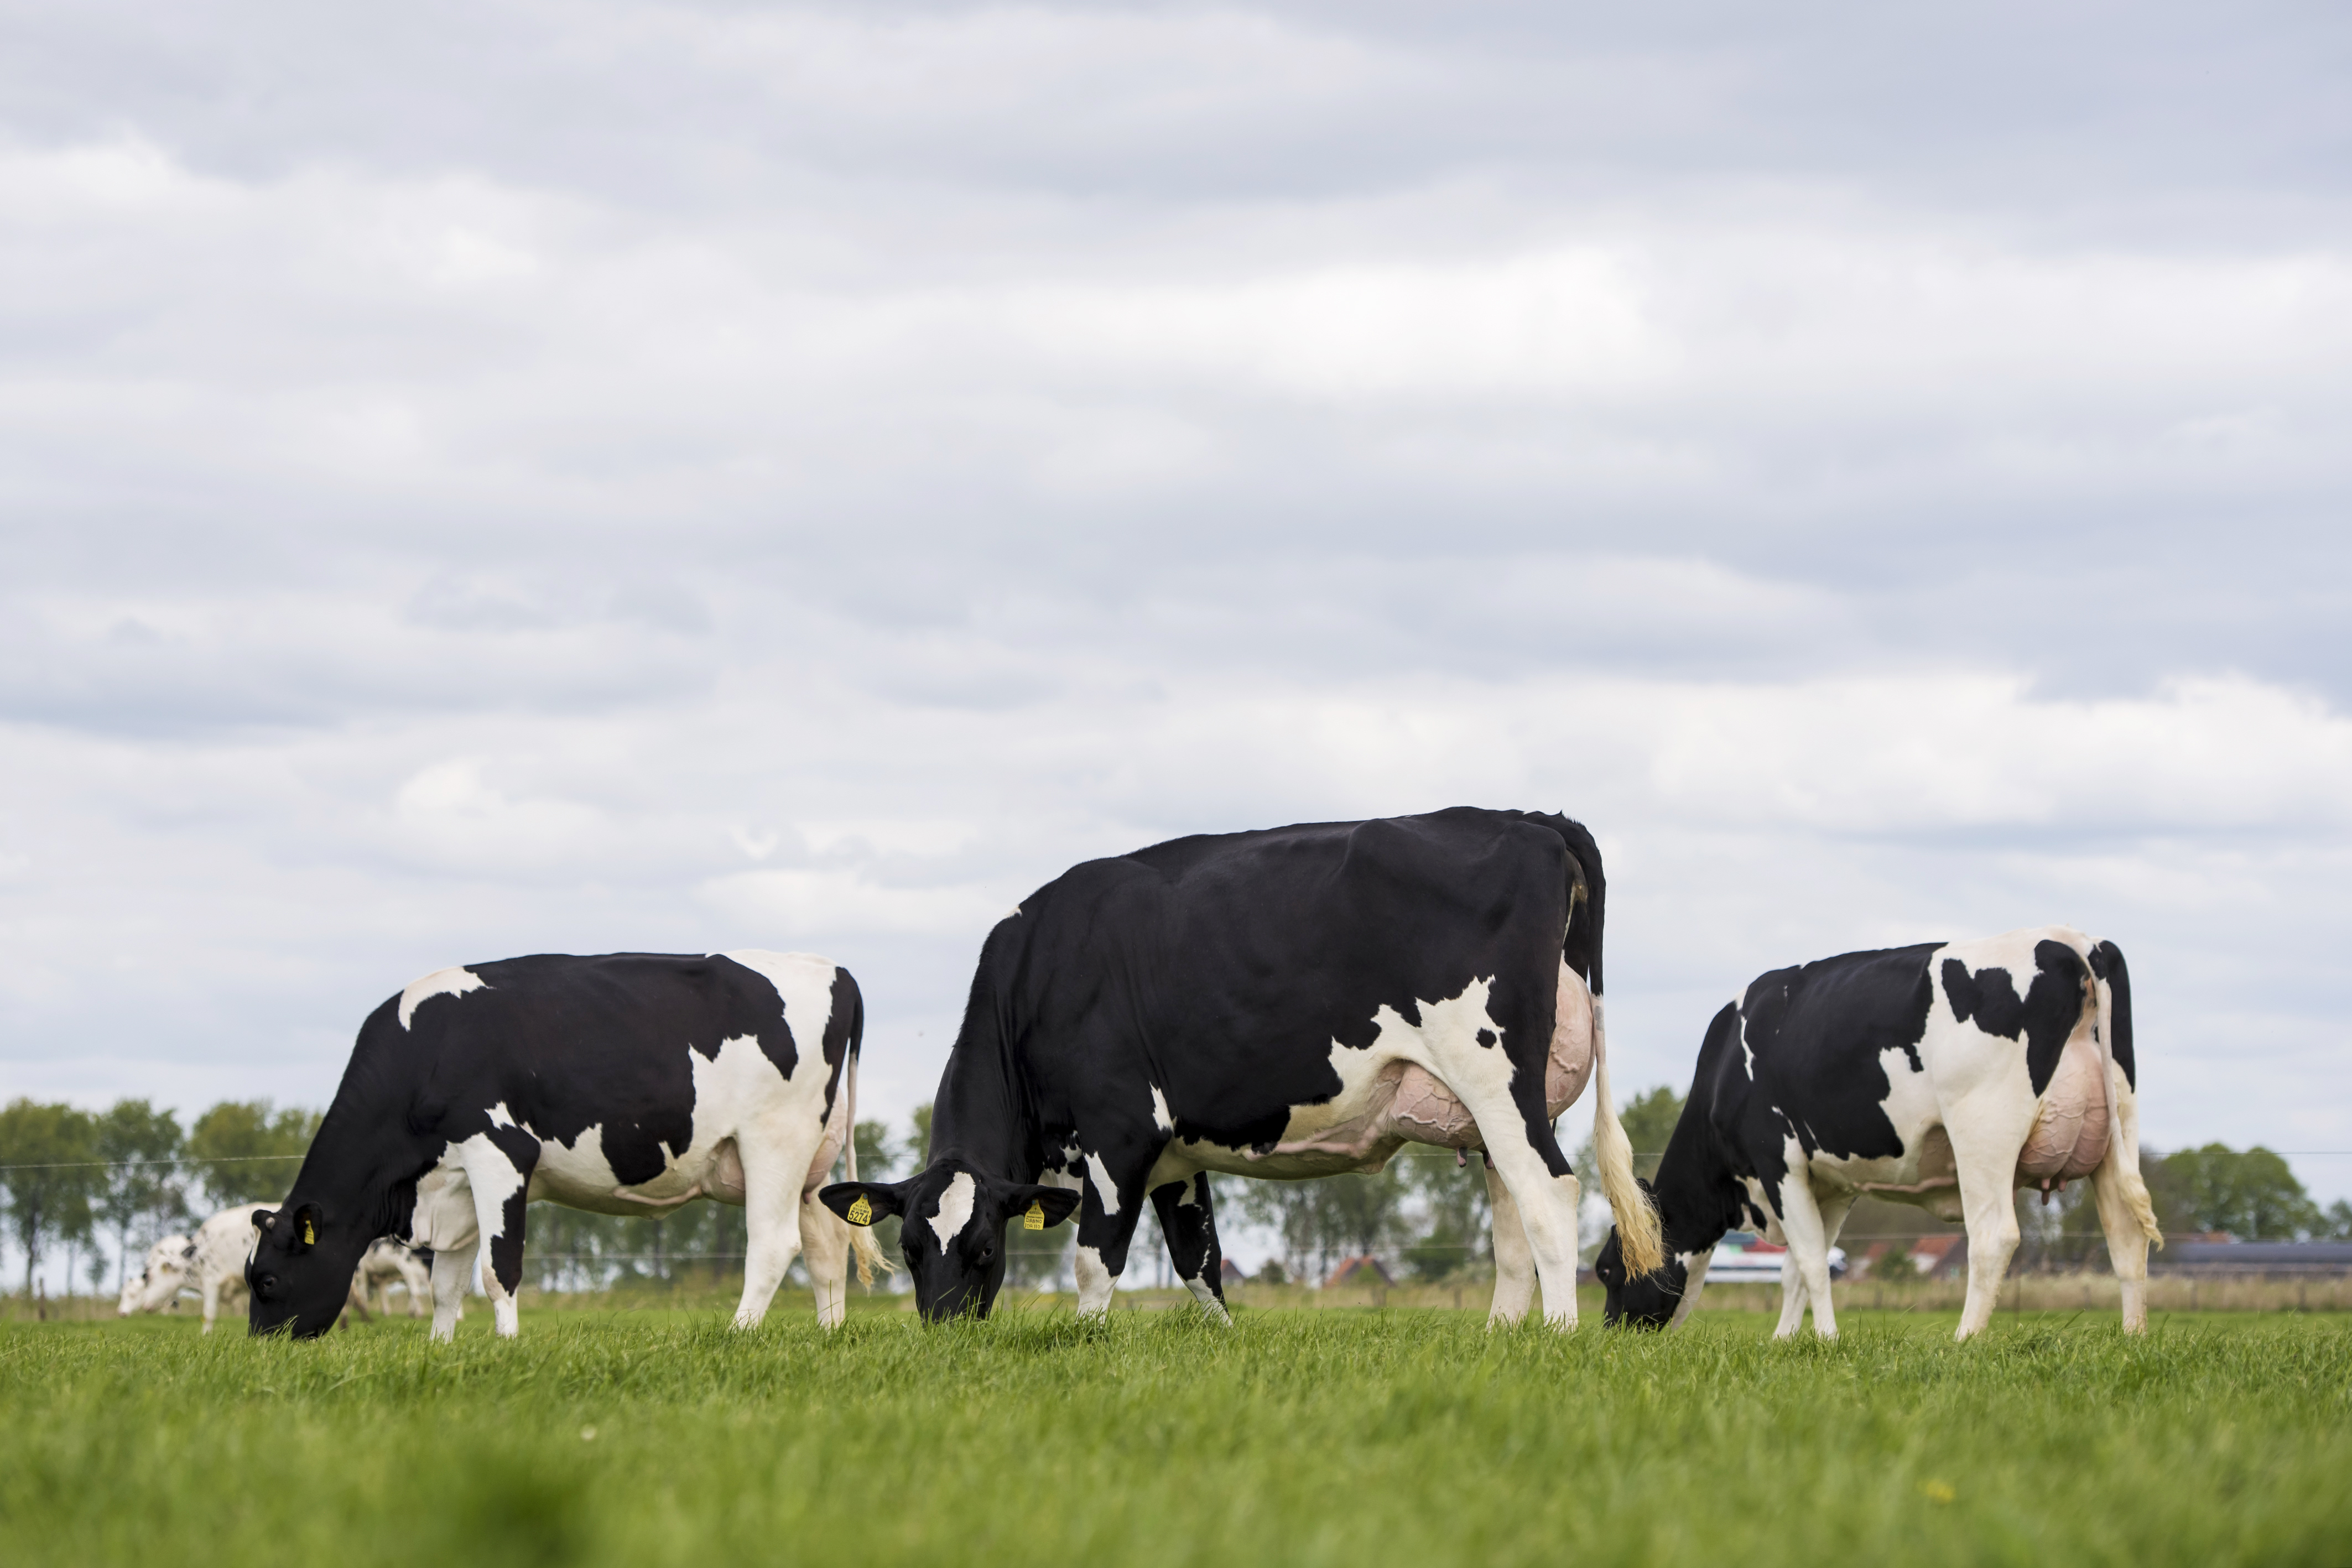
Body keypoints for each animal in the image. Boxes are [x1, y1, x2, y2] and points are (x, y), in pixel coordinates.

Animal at [243, 950, 884, 1345]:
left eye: (268, 1280)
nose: (261, 1348)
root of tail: (832, 968)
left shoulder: (499, 1152)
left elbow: (497, 1267)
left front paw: (505, 1346)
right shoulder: (452, 1182)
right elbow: (446, 1281)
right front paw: (440, 1348)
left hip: (773, 1140)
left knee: (774, 1244)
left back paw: (738, 1333)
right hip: (813, 1162)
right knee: (826, 1248)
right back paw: (828, 1334)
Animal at [818, 809, 1665, 1326]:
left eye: (987, 1250)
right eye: (909, 1249)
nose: (945, 1331)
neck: (1034, 978)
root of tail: (1529, 819)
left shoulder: (1120, 1129)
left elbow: (1096, 1259)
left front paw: (1084, 1342)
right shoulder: (1174, 1156)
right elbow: (1201, 1262)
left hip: (1494, 1074)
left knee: (1548, 1195)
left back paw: (1555, 1337)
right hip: (1496, 1104)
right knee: (1512, 1220)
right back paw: (1500, 1339)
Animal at [1590, 926, 2154, 1345]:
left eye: (1605, 1270)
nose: (1610, 1338)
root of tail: (2071, 940)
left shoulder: (1778, 1160)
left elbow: (1812, 1263)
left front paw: (1827, 1339)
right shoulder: (1832, 1184)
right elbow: (1799, 1267)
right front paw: (1786, 1340)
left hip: (1983, 1131)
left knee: (1994, 1237)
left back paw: (1965, 1339)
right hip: (2116, 1130)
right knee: (2127, 1237)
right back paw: (2133, 1338)